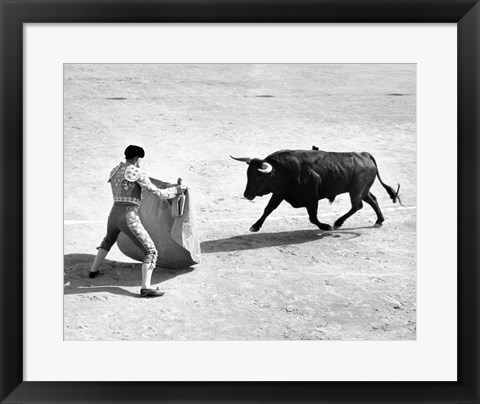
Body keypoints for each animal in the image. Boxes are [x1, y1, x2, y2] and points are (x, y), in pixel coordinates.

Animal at [231, 147, 404, 232]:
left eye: (258, 177)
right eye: (248, 175)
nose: (247, 195)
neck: (283, 171)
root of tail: (364, 155)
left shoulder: (312, 198)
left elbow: (313, 217)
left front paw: (325, 226)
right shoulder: (279, 193)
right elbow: (268, 209)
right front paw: (255, 226)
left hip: (356, 191)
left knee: (357, 205)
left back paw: (337, 223)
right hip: (362, 190)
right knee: (372, 200)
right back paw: (379, 221)